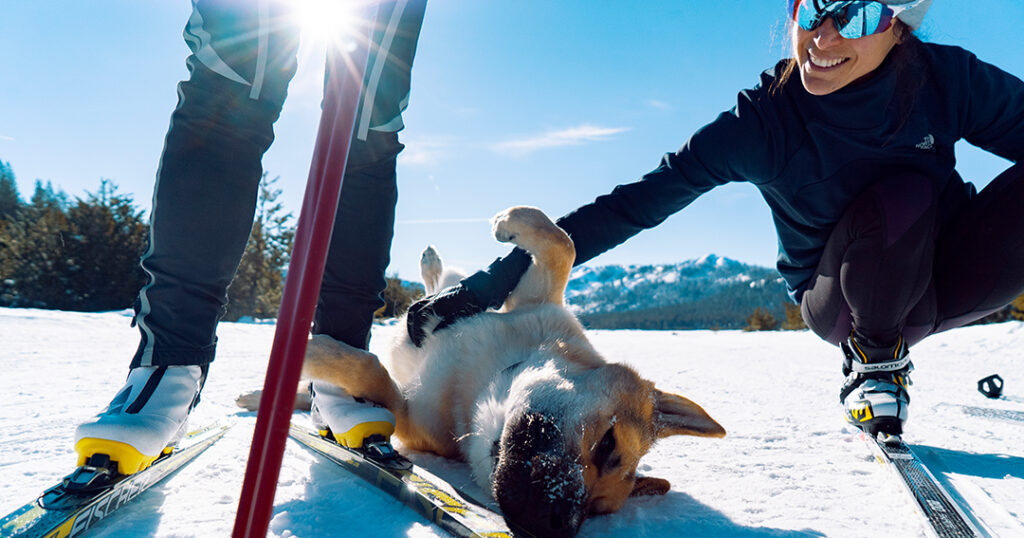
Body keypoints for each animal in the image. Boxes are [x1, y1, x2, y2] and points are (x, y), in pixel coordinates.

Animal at [256, 207, 724, 536]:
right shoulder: (535, 302)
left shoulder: (407, 416)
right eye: (609, 444)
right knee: (437, 288)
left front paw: (309, 349)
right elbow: (562, 243)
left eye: (597, 512)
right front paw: (512, 222)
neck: (492, 374)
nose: (554, 528)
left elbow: (372, 371)